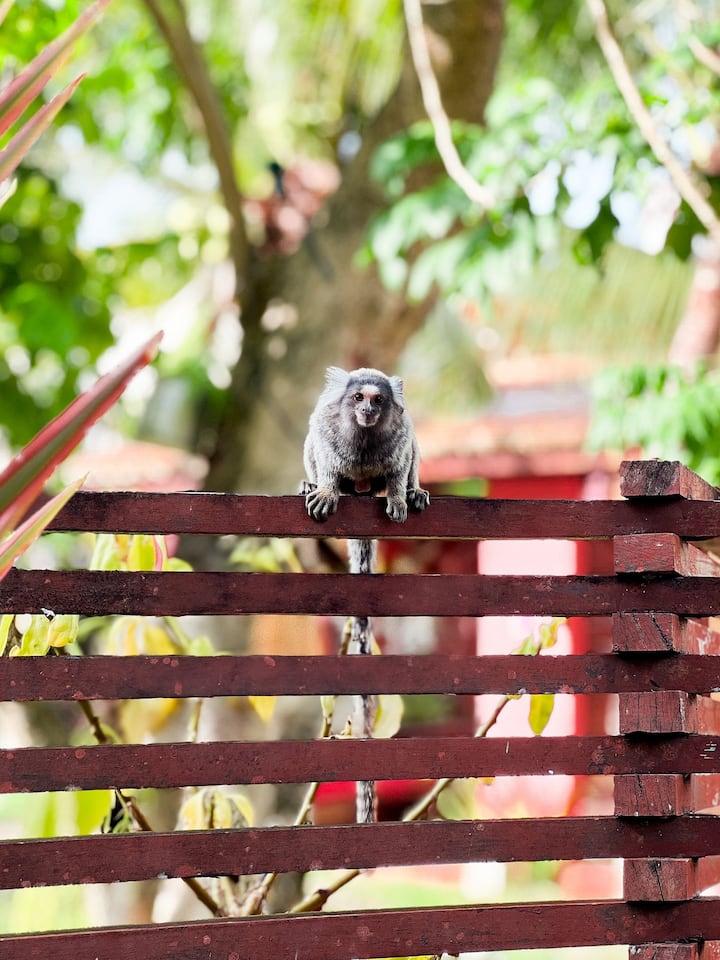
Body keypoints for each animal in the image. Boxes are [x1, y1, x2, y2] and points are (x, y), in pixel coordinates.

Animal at [301, 366, 430, 823]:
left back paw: (413, 491)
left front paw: (399, 494)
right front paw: (324, 489)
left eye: (379, 399)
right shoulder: (326, 433)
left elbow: (402, 459)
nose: (369, 411)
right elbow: (322, 451)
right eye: (358, 398)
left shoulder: (400, 441)